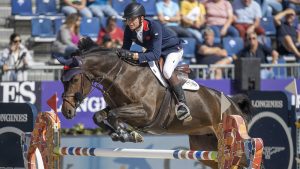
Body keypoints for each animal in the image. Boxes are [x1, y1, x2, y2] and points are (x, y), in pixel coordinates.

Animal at [59, 44, 252, 168]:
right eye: (62, 81)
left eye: (74, 80)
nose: (66, 111)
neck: (121, 74)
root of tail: (234, 104)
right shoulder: (118, 106)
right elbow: (99, 115)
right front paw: (120, 134)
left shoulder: (146, 112)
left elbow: (114, 115)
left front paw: (127, 134)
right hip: (204, 146)